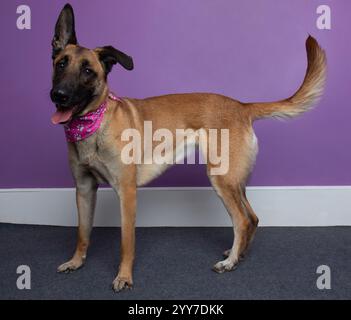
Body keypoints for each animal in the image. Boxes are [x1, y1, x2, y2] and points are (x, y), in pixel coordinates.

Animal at [51, 3, 328, 292]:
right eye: (61, 64)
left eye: (88, 71)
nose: (58, 95)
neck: (93, 122)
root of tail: (242, 106)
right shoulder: (84, 189)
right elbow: (82, 232)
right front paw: (76, 262)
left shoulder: (126, 193)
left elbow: (127, 242)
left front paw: (124, 276)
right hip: (235, 180)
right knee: (252, 218)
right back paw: (238, 255)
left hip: (222, 178)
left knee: (242, 220)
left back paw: (230, 262)